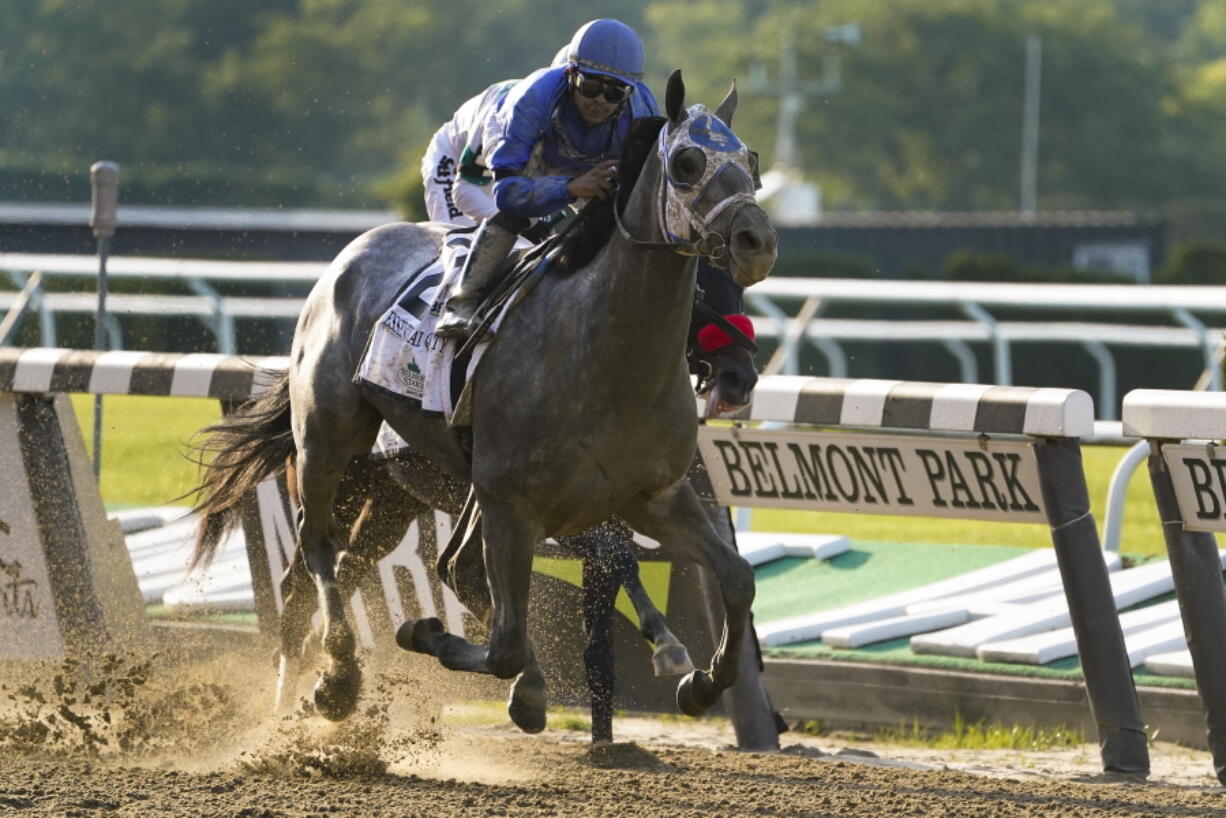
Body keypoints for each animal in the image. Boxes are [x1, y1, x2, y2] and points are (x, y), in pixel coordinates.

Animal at [188, 72, 774, 730]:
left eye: (750, 159)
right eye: (687, 162)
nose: (757, 242)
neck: (603, 356)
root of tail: (348, 255)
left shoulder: (651, 497)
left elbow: (735, 578)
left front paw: (700, 681)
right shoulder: (511, 505)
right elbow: (504, 634)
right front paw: (433, 639)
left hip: (392, 502)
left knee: (337, 570)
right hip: (328, 444)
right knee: (315, 551)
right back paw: (334, 679)